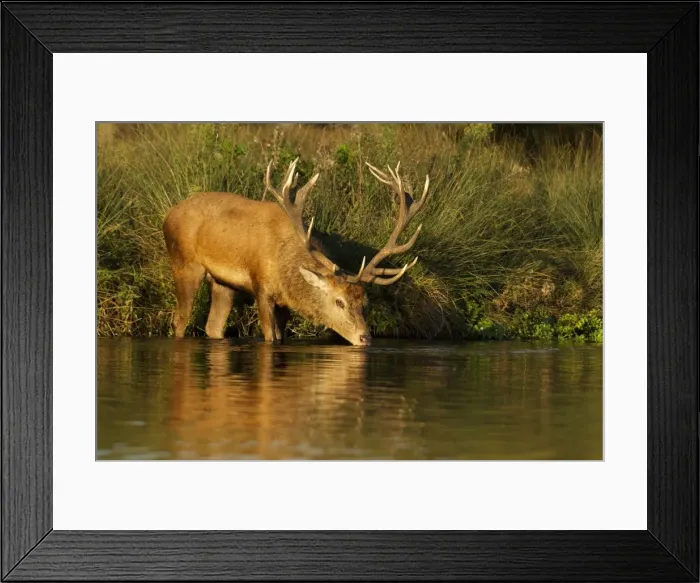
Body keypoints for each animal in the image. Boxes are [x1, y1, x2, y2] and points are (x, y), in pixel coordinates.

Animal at [162, 158, 430, 346]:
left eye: (364, 303)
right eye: (339, 301)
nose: (365, 338)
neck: (285, 264)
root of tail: (169, 215)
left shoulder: (285, 303)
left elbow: (281, 336)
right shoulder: (261, 286)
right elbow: (269, 336)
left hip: (223, 282)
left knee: (213, 326)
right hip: (184, 262)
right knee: (180, 319)